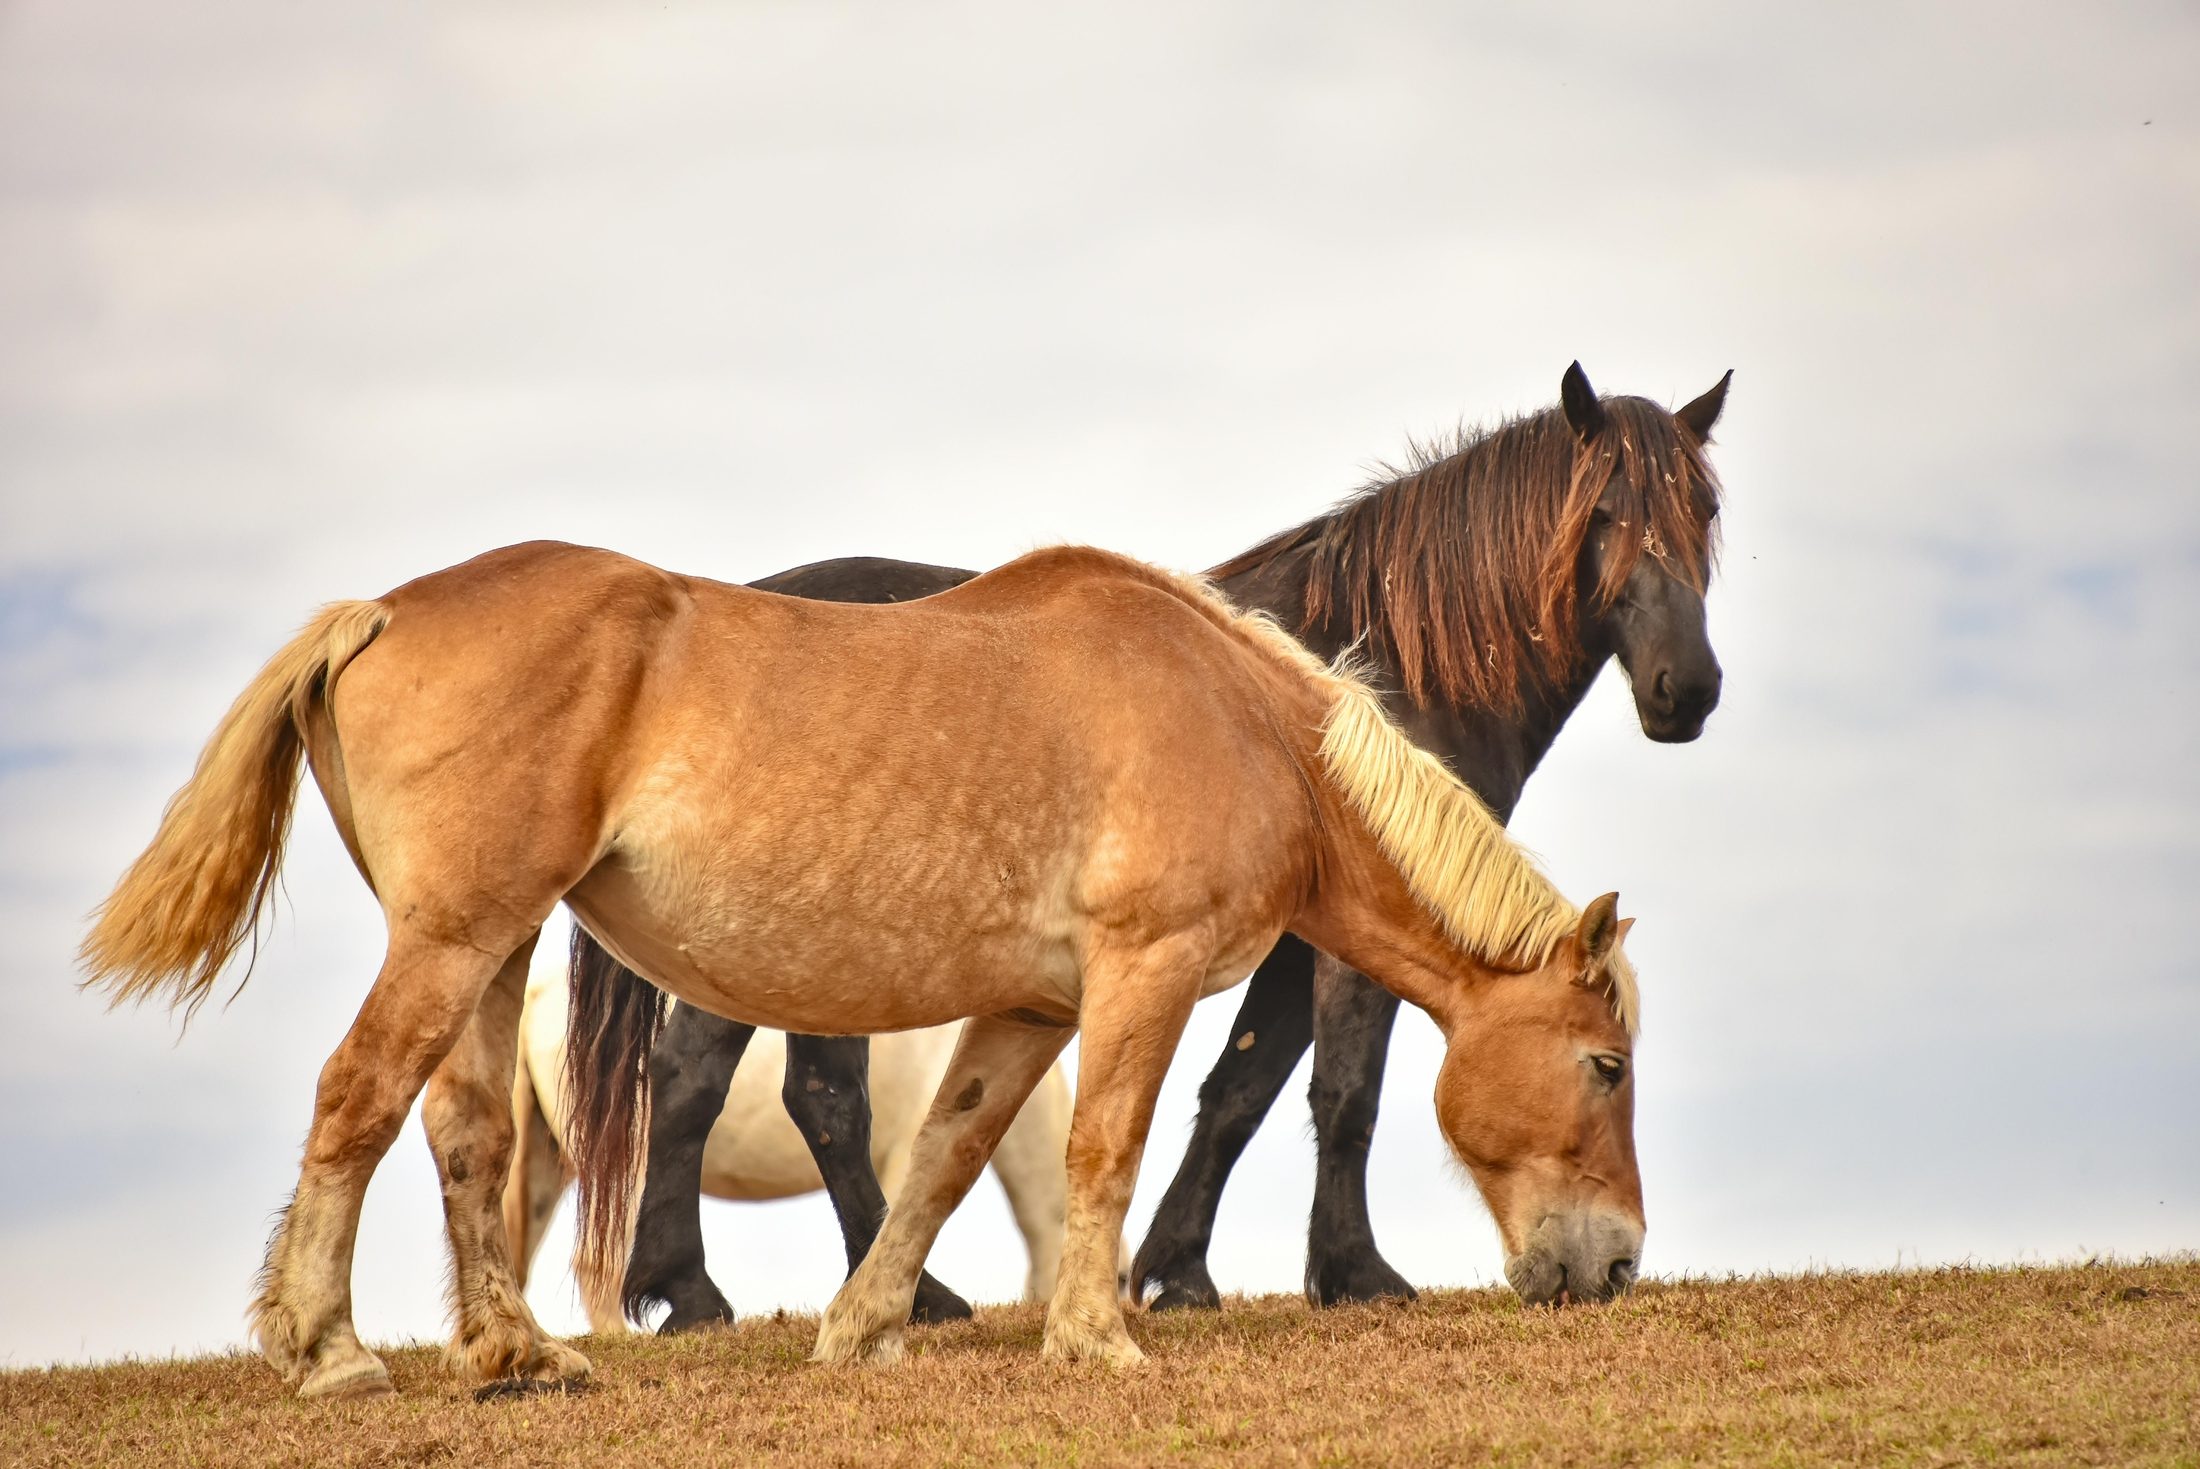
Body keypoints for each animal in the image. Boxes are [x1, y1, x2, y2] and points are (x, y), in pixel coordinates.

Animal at [601, 361, 1729, 1331]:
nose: (1688, 690)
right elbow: (1343, 1092)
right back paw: (754, 1294)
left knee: (762, 1084)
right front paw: (1352, 1273)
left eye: (1706, 512)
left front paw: (1175, 1269)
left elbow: (1241, 1086)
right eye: (1602, 512)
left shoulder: (1299, 929)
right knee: (754, 1084)